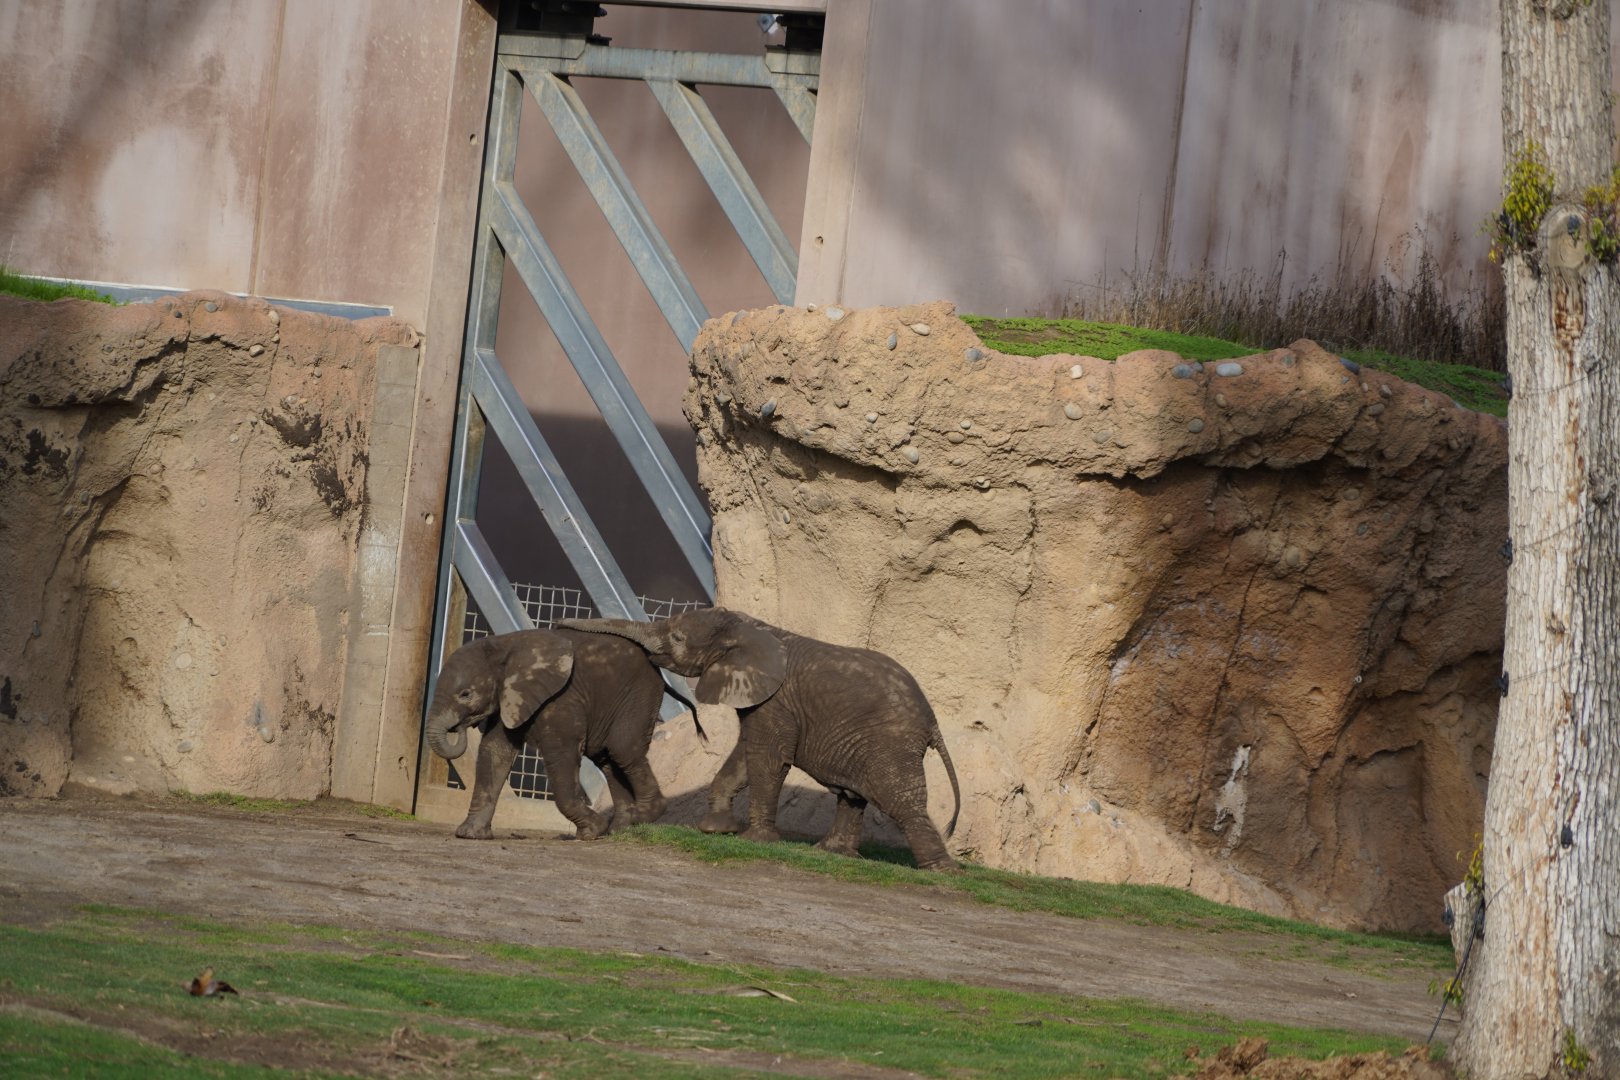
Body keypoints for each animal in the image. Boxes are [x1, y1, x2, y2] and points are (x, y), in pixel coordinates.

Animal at [425, 628, 676, 841]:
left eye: (465, 694)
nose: (459, 727)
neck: (504, 645)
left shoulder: (562, 698)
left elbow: (561, 753)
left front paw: (591, 831)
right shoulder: (510, 697)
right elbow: (495, 752)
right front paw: (470, 835)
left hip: (639, 696)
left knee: (621, 749)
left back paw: (645, 815)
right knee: (606, 758)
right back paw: (620, 829)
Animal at [556, 608, 962, 870]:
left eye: (677, 637)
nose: (558, 624)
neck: (750, 626)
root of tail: (932, 721)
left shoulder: (776, 701)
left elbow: (767, 758)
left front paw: (754, 841)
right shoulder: (759, 701)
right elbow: (743, 757)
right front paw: (717, 829)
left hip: (891, 744)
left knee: (900, 801)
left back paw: (940, 870)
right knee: (852, 795)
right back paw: (829, 853)